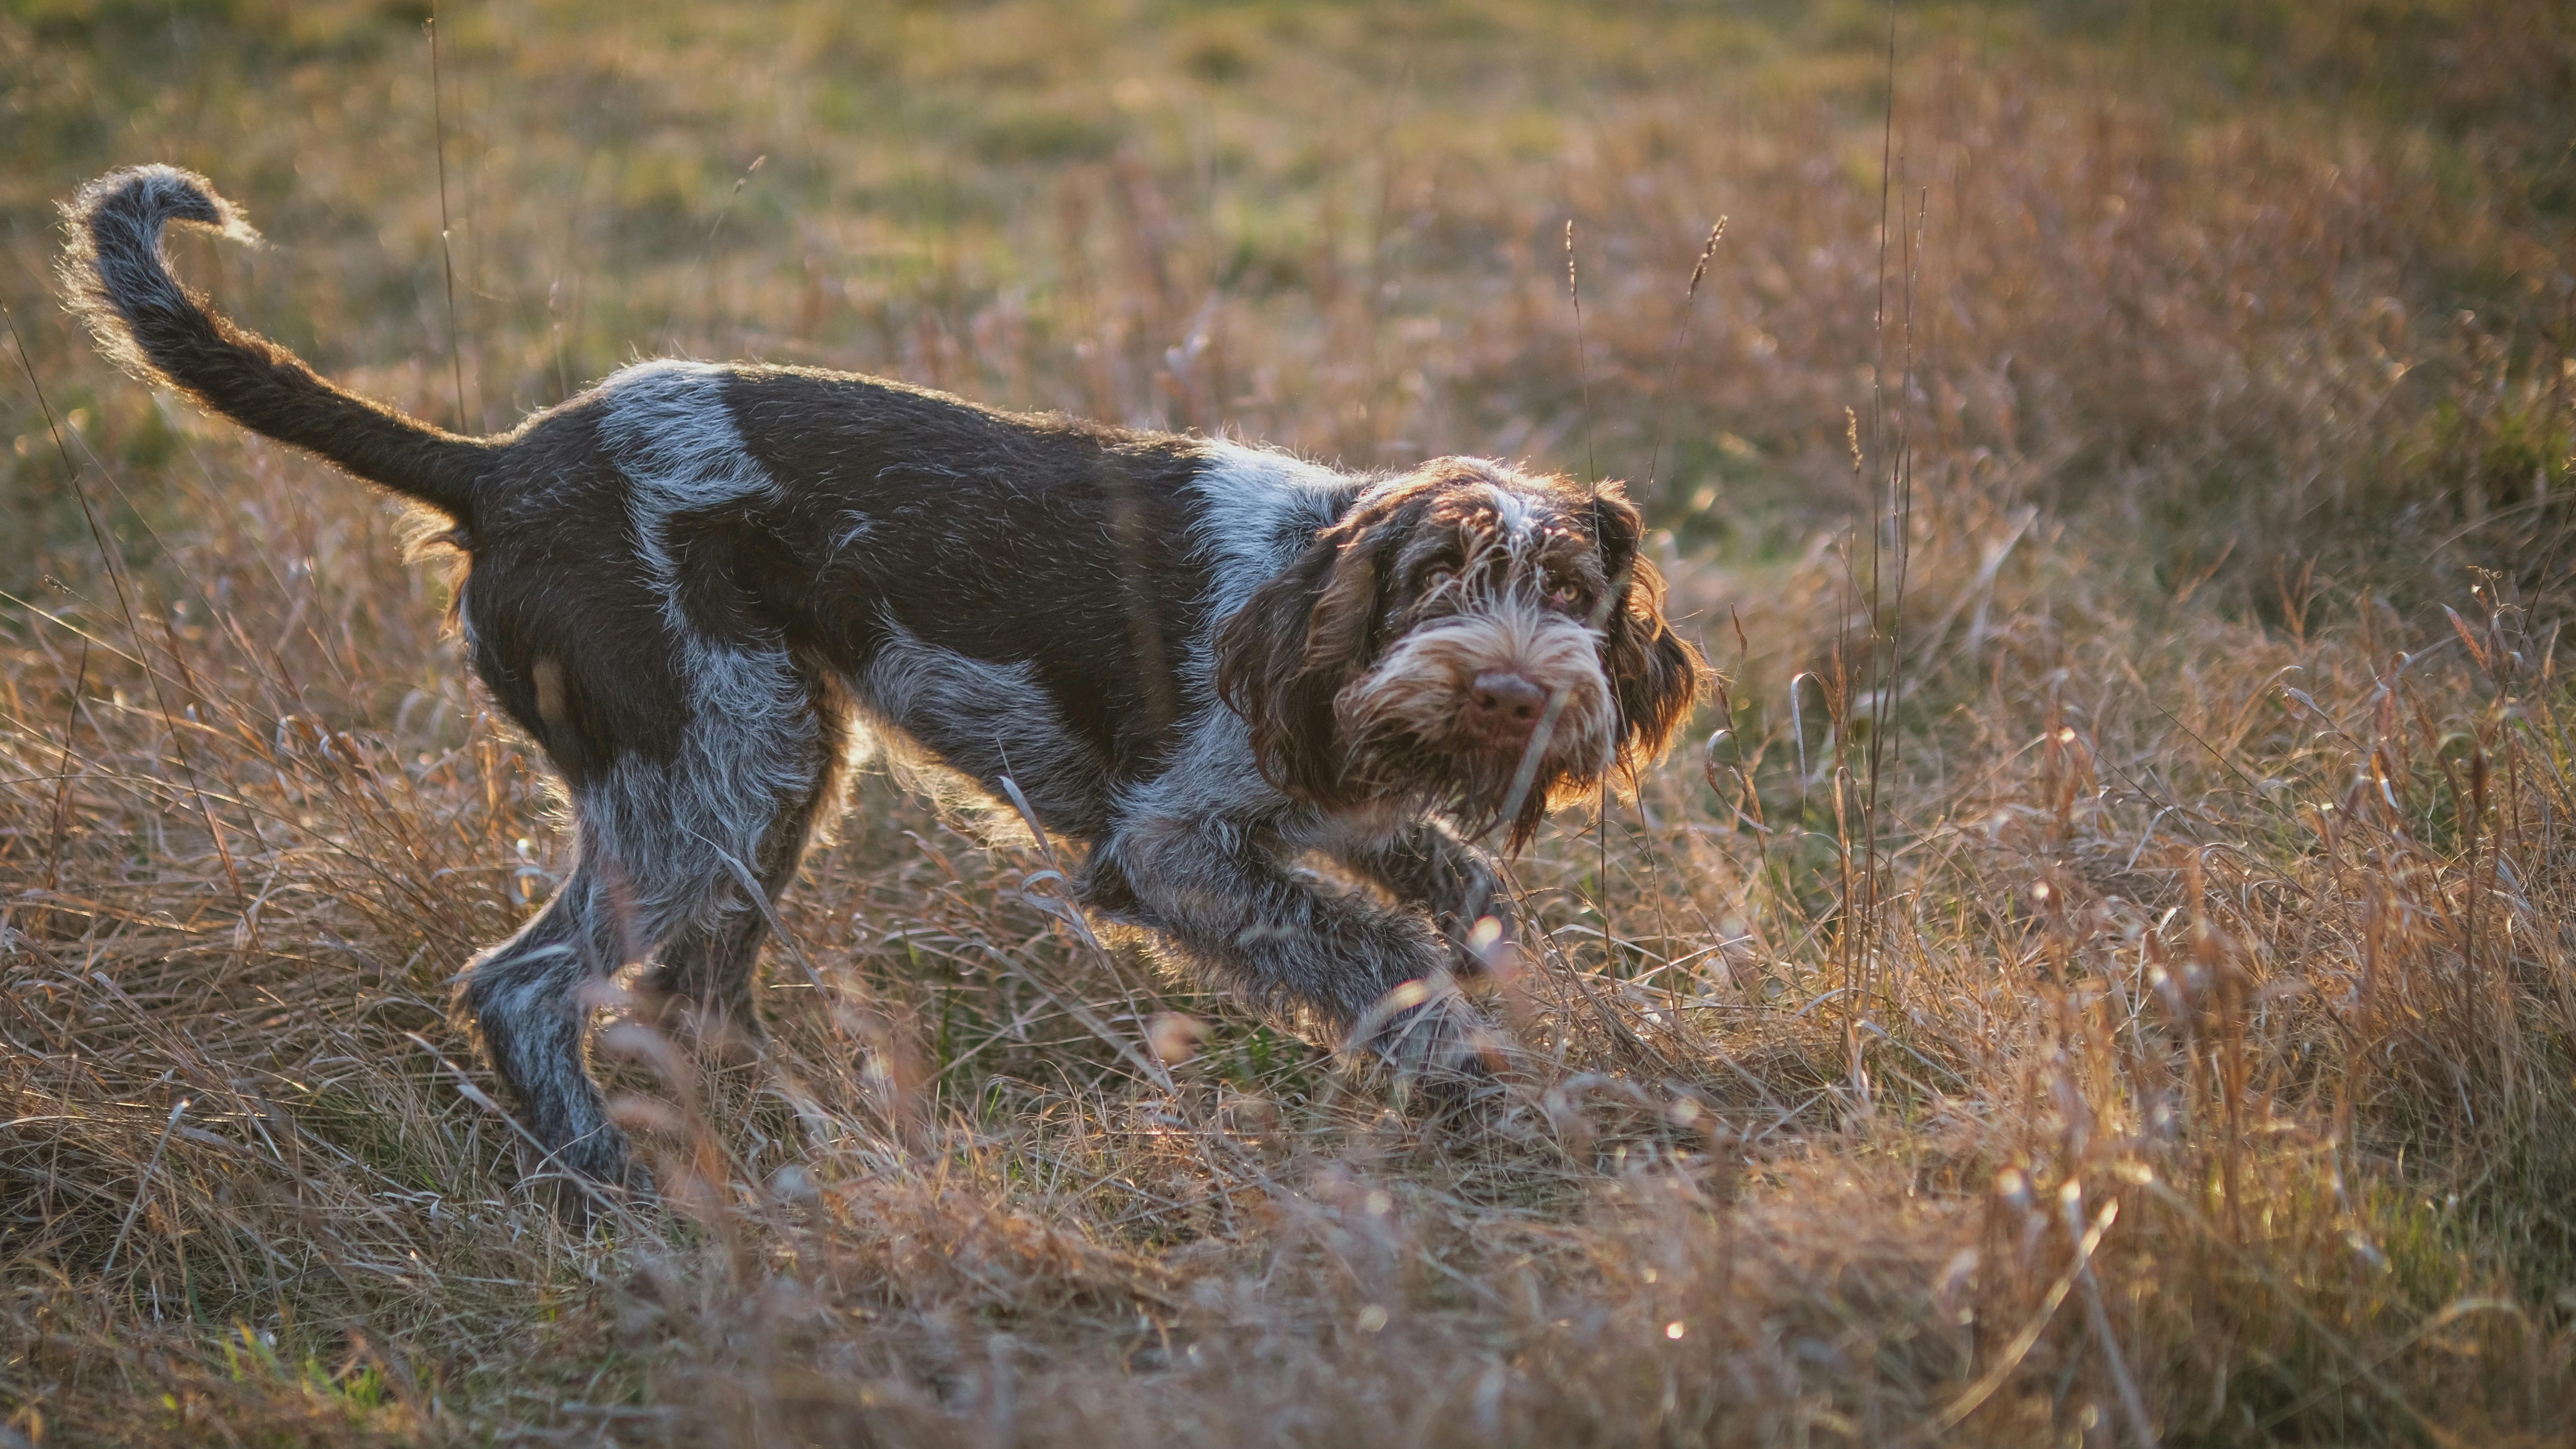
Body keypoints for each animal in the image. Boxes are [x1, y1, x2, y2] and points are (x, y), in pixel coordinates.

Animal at [61, 164, 1710, 1194]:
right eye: (1434, 582)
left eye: (1569, 597)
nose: (1509, 694)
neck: (1309, 602)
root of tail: (499, 467)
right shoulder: (1168, 851)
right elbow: (1376, 959)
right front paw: (1480, 1084)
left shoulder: (1331, 809)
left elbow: (1462, 894)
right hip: (714, 770)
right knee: (526, 986)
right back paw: (619, 1190)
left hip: (767, 765)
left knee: (689, 998)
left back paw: (782, 1141)